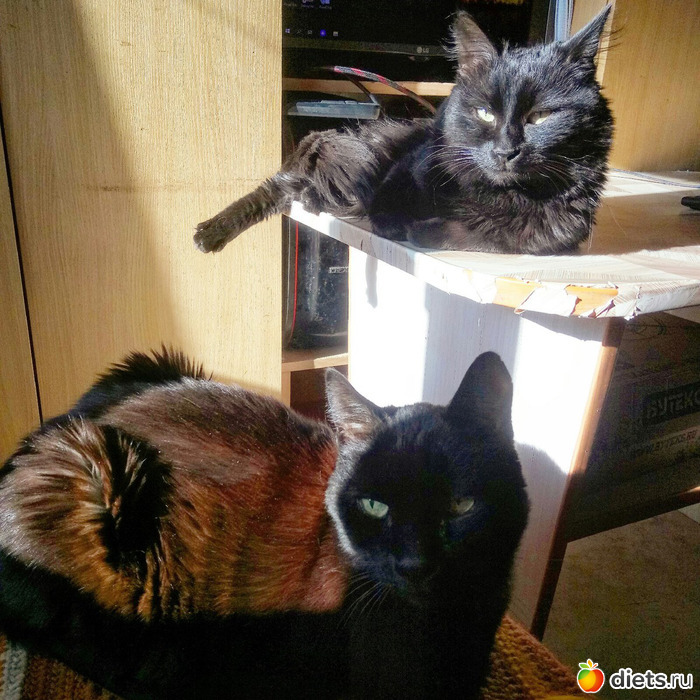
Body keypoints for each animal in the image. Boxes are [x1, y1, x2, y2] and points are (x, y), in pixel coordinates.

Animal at [194, 7, 613, 256]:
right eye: (484, 113)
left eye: (540, 117)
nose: (505, 151)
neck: (500, 195)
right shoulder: (400, 173)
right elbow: (387, 211)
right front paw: (404, 227)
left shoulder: (549, 237)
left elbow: (478, 235)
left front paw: (426, 230)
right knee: (273, 187)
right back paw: (208, 233)